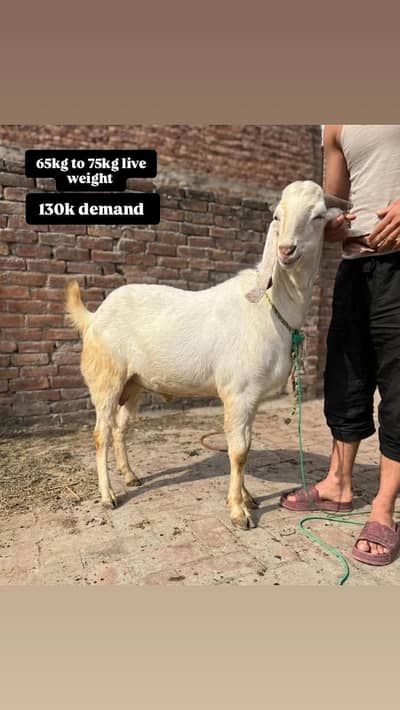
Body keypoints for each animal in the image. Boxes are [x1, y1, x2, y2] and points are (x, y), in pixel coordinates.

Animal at [66, 180, 345, 529]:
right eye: (278, 216)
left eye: (318, 216)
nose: (286, 250)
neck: (269, 306)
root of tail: (94, 317)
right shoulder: (238, 392)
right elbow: (238, 450)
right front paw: (239, 511)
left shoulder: (252, 396)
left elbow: (247, 445)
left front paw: (247, 498)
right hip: (106, 378)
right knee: (100, 433)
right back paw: (108, 496)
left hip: (134, 384)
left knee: (120, 428)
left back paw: (130, 476)